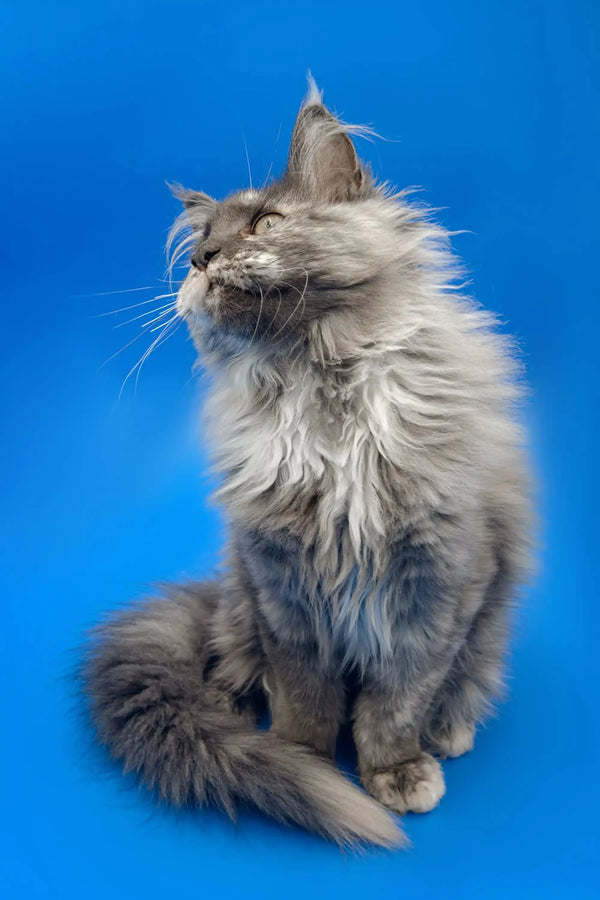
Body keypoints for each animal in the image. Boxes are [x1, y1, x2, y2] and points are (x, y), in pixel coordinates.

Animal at [82, 81, 532, 848]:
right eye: (198, 247)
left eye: (265, 225)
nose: (203, 260)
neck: (320, 394)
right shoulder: (283, 590)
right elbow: (303, 697)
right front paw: (302, 762)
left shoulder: (435, 587)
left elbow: (396, 702)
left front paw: (394, 771)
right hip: (239, 591)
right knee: (229, 659)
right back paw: (228, 709)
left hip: (483, 629)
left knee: (458, 685)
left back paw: (450, 732)